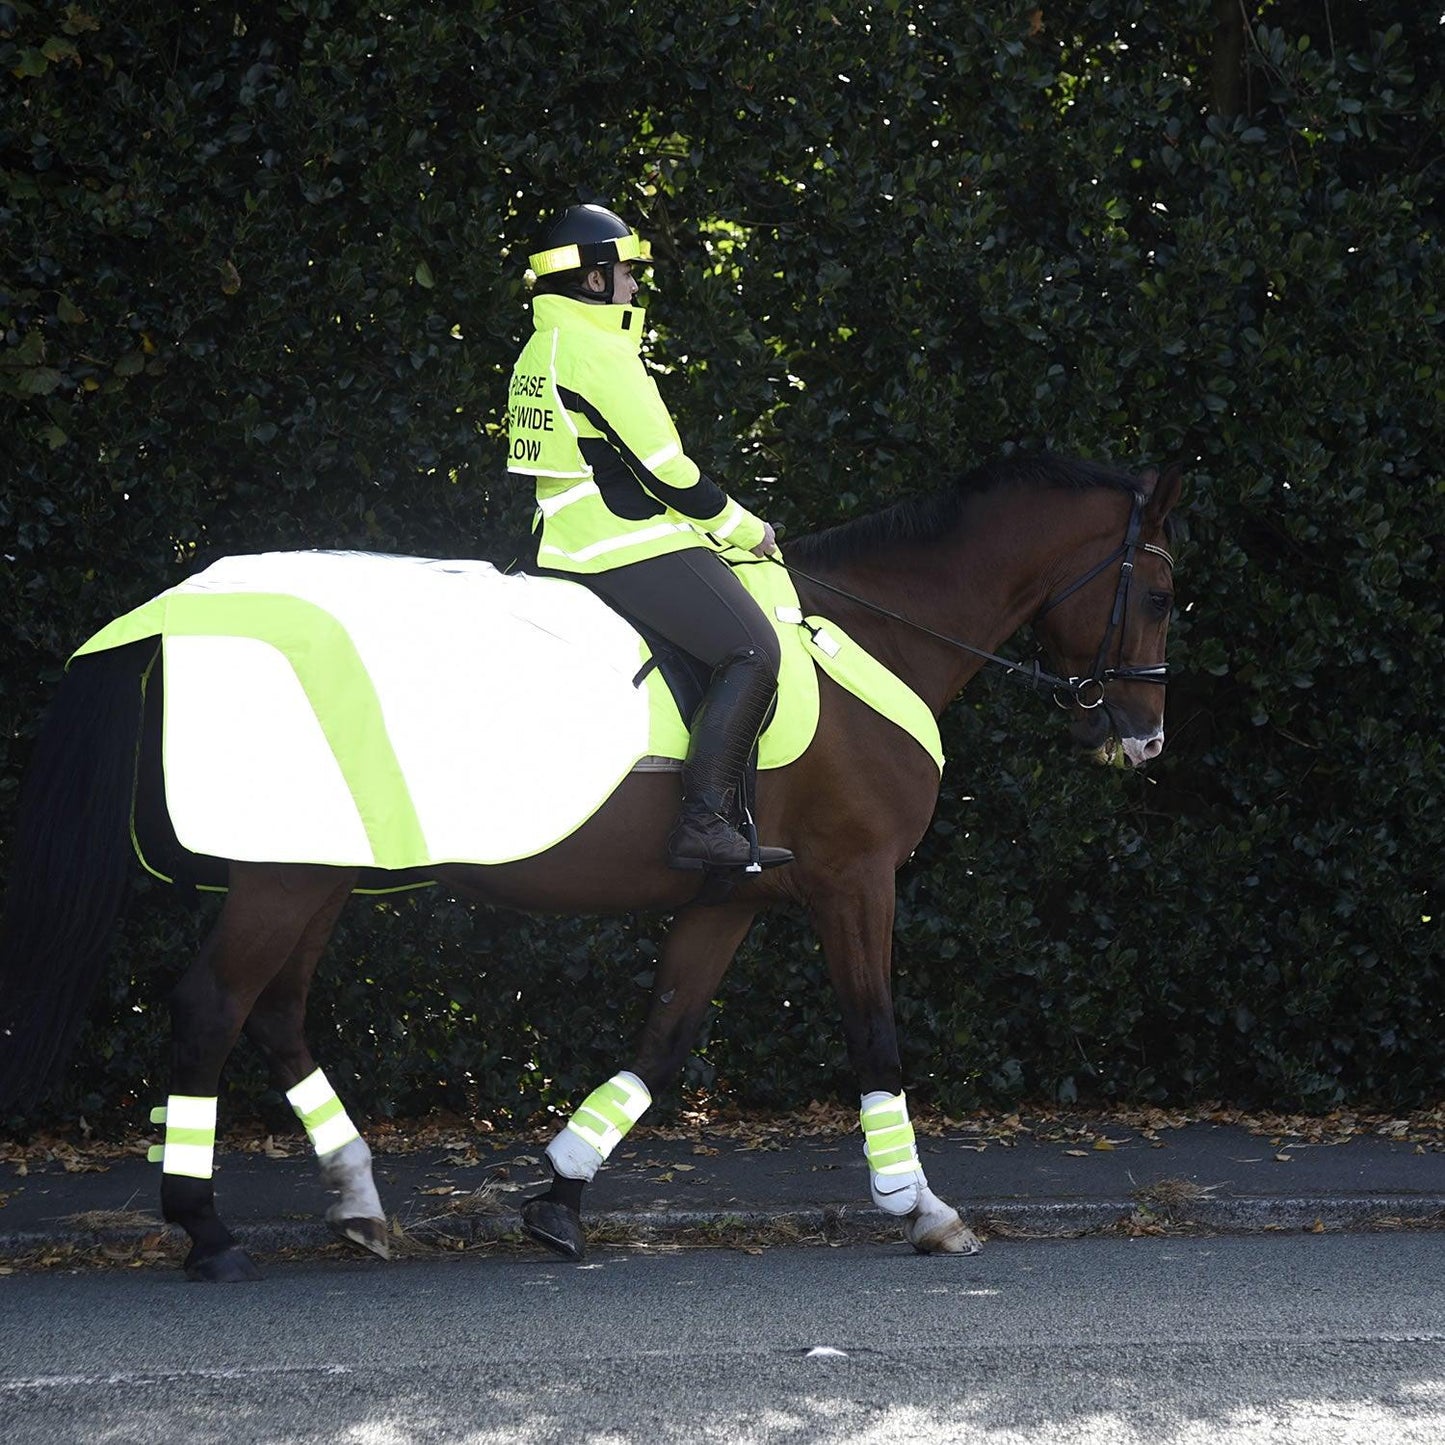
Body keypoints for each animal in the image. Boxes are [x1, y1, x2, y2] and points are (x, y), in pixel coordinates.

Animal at [0, 450, 1179, 1277]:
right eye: (1164, 596)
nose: (1142, 739)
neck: (874, 632)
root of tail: (178, 607)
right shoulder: (854, 881)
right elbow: (874, 1034)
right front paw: (923, 1209)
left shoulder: (731, 894)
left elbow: (661, 1039)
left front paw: (558, 1198)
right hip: (283, 873)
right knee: (212, 1007)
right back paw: (206, 1231)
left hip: (313, 868)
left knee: (275, 1012)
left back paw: (361, 1204)